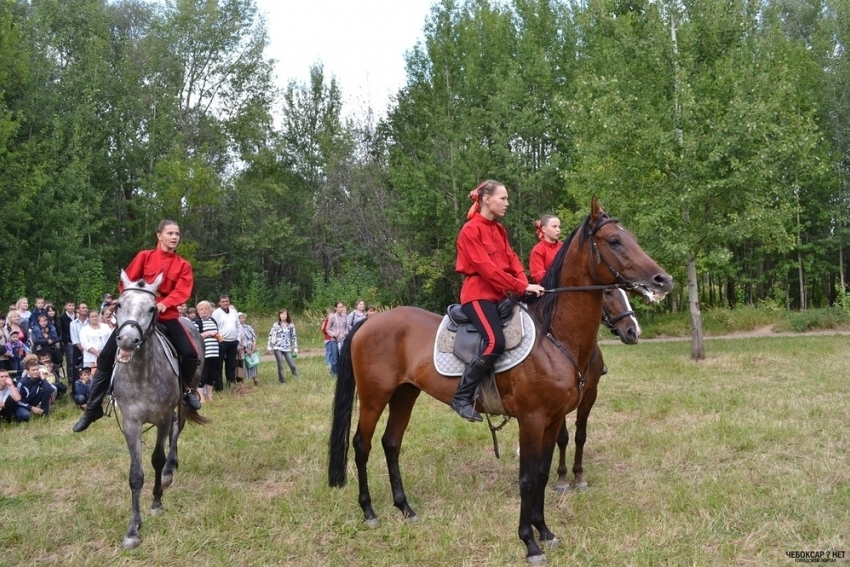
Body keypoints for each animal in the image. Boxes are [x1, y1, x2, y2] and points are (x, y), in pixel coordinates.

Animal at [112, 270, 208, 552]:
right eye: (118, 305)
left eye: (152, 308)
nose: (128, 341)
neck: (141, 373)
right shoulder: (131, 423)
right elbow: (135, 475)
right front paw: (133, 529)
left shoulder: (162, 416)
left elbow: (156, 457)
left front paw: (156, 501)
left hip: (185, 398)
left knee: (178, 429)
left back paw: (169, 470)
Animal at [326, 199, 668, 564]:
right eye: (615, 241)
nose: (663, 280)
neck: (553, 336)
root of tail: (368, 322)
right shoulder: (532, 420)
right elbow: (527, 479)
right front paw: (529, 542)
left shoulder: (553, 419)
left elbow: (543, 473)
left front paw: (544, 531)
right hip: (374, 397)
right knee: (361, 445)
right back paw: (369, 512)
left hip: (405, 394)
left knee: (391, 444)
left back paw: (405, 509)